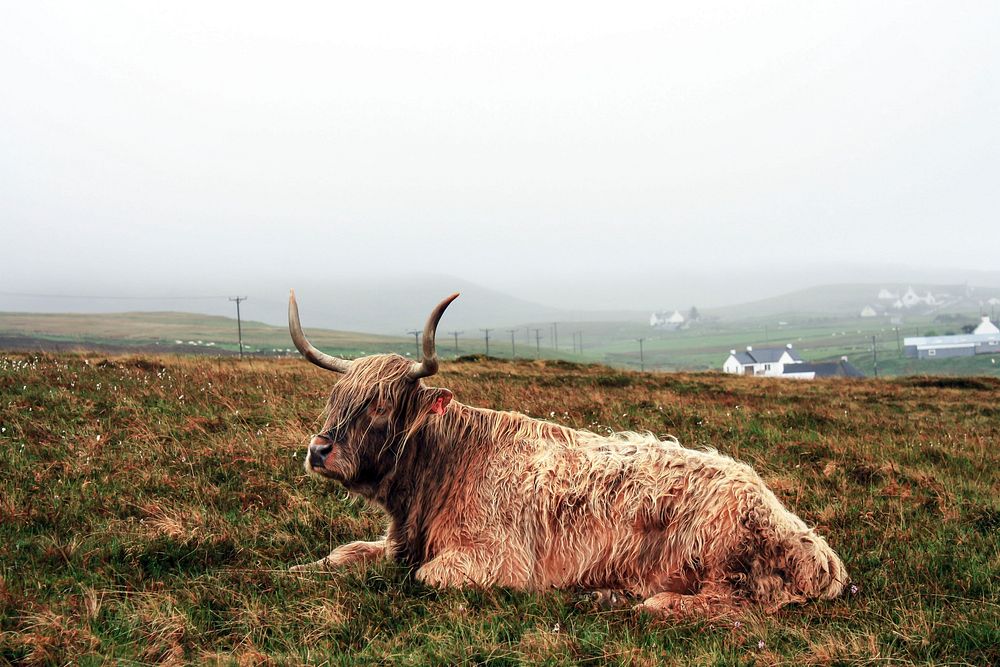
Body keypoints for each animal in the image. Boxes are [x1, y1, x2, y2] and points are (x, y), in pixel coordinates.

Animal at [288, 292, 844, 616]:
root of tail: (815, 545)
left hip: (721, 557)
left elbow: (424, 577)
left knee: (730, 602)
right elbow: (344, 554)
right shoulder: (402, 541)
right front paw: (297, 572)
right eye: (336, 398)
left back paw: (635, 599)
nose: (319, 450)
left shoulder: (495, 559)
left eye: (381, 406)